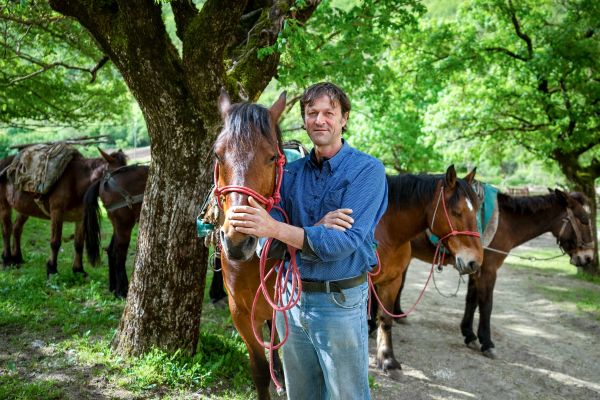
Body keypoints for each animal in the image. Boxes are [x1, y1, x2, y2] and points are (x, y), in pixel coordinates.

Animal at [0, 148, 127, 276]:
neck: (76, 181)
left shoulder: (80, 217)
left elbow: (79, 244)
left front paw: (78, 270)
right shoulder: (57, 213)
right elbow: (55, 242)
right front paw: (52, 269)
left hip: (24, 209)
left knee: (17, 229)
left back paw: (17, 259)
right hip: (4, 205)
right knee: (6, 230)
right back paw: (7, 260)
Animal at [82, 162, 148, 296]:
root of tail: (104, 180)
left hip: (117, 225)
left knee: (111, 250)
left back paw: (113, 287)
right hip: (124, 225)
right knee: (118, 253)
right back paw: (121, 290)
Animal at [368, 169, 486, 372]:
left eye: (477, 210)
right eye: (456, 212)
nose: (475, 262)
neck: (387, 232)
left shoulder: (392, 281)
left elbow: (386, 320)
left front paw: (387, 359)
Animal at [408, 188, 596, 360]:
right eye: (584, 221)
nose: (588, 257)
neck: (506, 224)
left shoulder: (476, 269)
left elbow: (472, 301)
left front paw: (469, 335)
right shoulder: (489, 271)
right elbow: (486, 305)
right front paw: (487, 343)